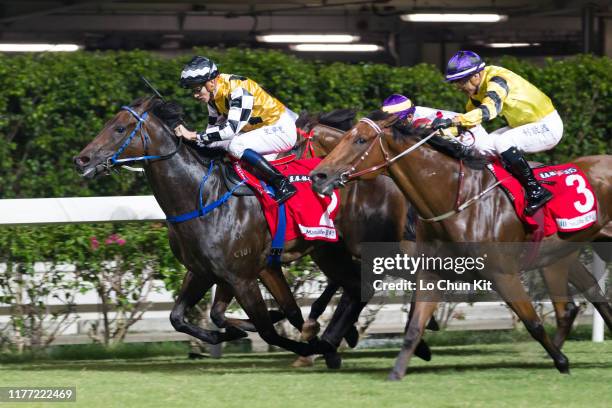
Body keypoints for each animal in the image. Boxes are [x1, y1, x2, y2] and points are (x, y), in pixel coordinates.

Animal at [310, 111, 612, 380]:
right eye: (344, 138)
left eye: (360, 140)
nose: (318, 176)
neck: (458, 200)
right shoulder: (430, 273)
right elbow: (413, 327)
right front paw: (396, 372)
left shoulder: (503, 275)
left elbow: (534, 323)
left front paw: (562, 362)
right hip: (562, 255)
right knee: (585, 298)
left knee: (570, 306)